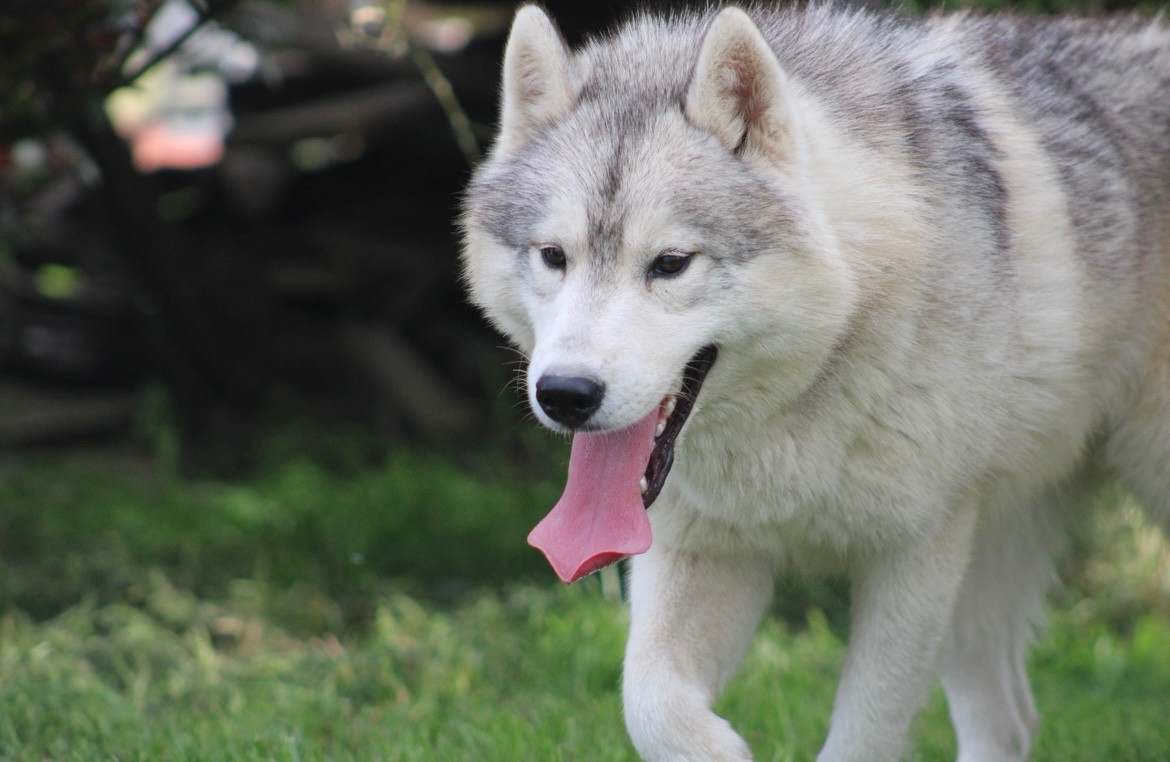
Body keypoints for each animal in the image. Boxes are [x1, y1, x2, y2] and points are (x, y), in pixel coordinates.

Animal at [460, 3, 1170, 760]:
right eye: (553, 256)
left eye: (671, 263)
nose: (565, 395)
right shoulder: (700, 552)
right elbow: (647, 703)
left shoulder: (915, 559)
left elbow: (862, 735)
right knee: (1007, 720)